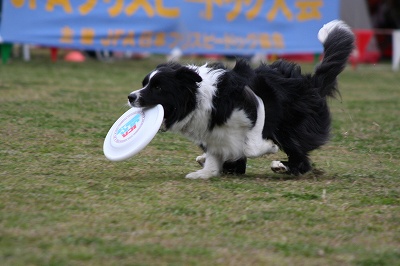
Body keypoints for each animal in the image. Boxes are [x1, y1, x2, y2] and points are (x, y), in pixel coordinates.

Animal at [127, 20, 354, 179]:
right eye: (145, 83)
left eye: (158, 87)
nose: (131, 97)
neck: (197, 98)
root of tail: (310, 82)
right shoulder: (210, 130)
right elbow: (215, 150)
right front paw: (207, 172)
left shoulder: (253, 107)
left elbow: (248, 146)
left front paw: (269, 147)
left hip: (289, 127)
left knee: (301, 158)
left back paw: (281, 165)